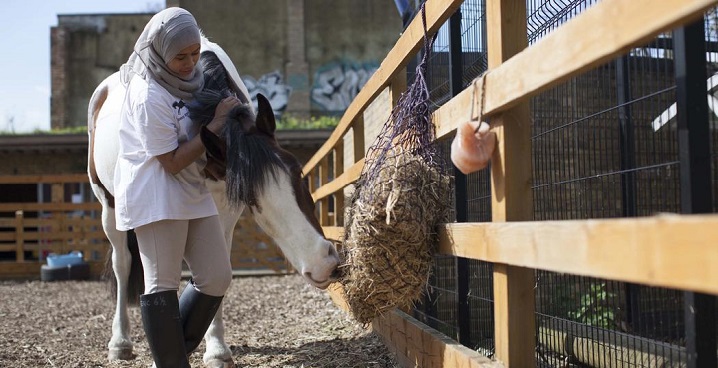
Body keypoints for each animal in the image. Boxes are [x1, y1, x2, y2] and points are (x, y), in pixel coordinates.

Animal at [86, 36, 340, 366]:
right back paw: (120, 342)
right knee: (123, 263)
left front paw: (216, 347)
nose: (324, 262)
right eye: (250, 195)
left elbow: (218, 273)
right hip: (110, 207)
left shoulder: (223, 214)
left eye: (298, 171)